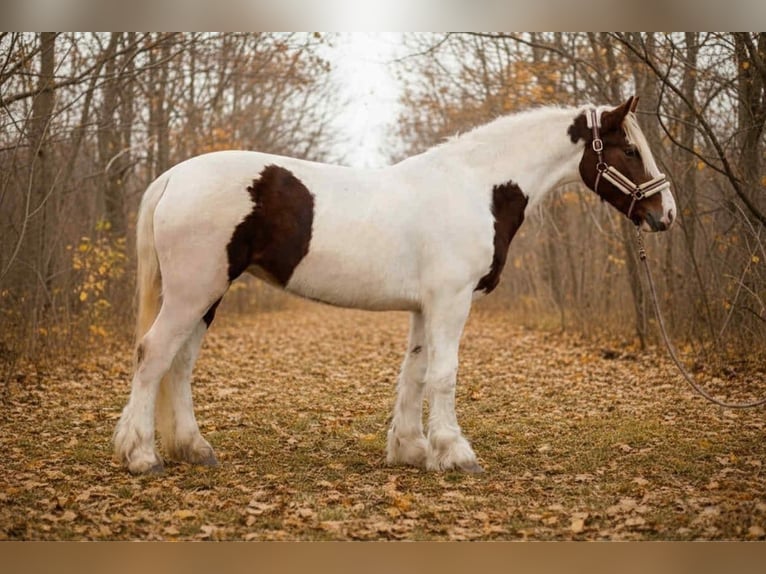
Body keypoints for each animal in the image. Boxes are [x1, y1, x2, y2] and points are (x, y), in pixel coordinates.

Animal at [113, 95, 676, 474]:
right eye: (630, 149)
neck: (475, 186)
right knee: (154, 354)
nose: (665, 213)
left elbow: (415, 372)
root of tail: (173, 178)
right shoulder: (451, 302)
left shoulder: (425, 307)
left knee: (180, 364)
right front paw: (456, 453)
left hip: (207, 296)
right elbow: (444, 375)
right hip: (193, 292)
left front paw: (411, 449)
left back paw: (194, 448)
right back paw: (141, 454)